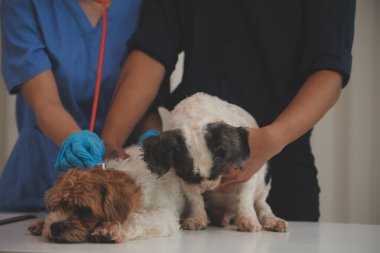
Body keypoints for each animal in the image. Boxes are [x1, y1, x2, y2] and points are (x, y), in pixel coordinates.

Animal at [28, 146, 186, 243]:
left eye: (84, 210)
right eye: (56, 206)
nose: (54, 226)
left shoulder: (164, 215)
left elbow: (136, 219)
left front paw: (108, 229)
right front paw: (43, 222)